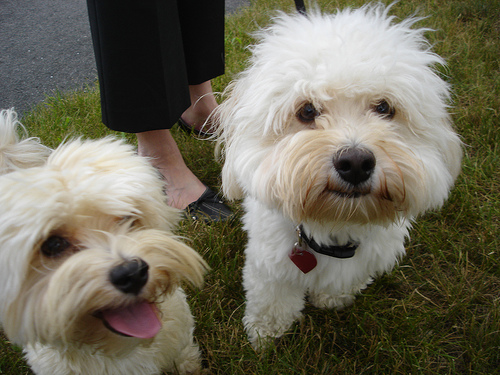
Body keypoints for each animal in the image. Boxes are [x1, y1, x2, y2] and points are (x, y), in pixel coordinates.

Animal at [213, 3, 462, 350]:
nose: (355, 163)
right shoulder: (269, 265)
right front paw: (266, 334)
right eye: (306, 110)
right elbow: (271, 302)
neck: (336, 223)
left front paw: (333, 297)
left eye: (384, 107)